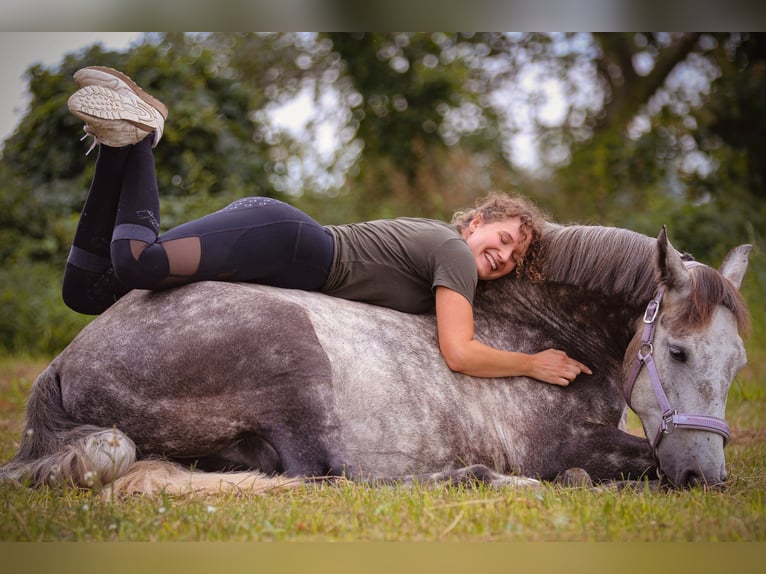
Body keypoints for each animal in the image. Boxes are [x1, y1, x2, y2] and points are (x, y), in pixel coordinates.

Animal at [0, 223, 751, 495]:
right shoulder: (558, 443)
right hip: (295, 365)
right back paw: (484, 479)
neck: (541, 328)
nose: (703, 479)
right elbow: (635, 459)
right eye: (678, 350)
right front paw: (573, 481)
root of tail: (62, 367)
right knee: (330, 477)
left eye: (738, 363)